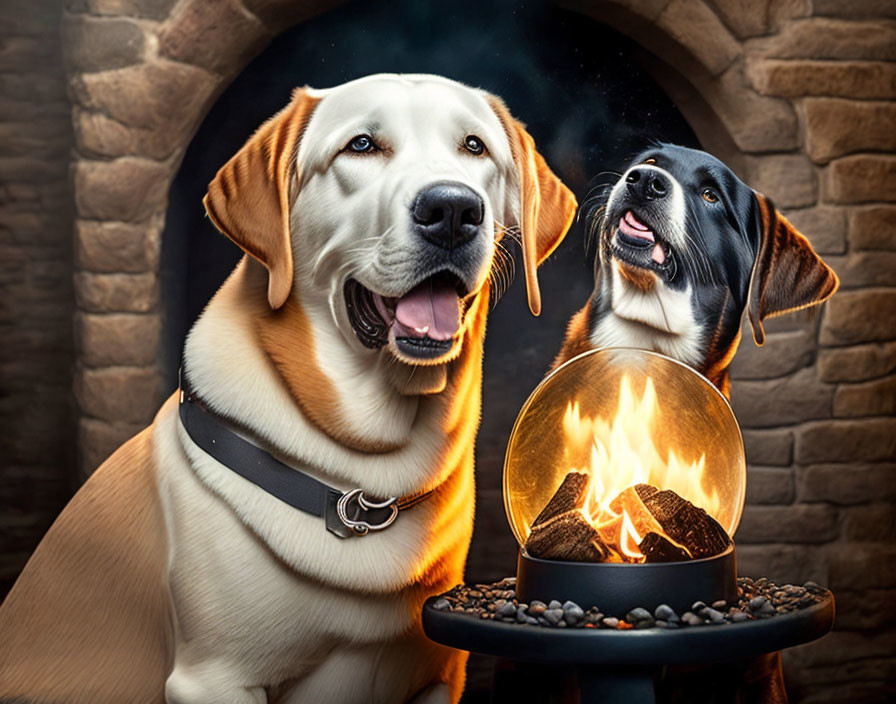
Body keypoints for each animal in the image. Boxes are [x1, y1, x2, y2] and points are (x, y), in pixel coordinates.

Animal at [1, 74, 576, 700]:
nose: (452, 208)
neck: (365, 477)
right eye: (361, 145)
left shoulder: (437, 676)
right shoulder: (215, 678)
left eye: (474, 148)